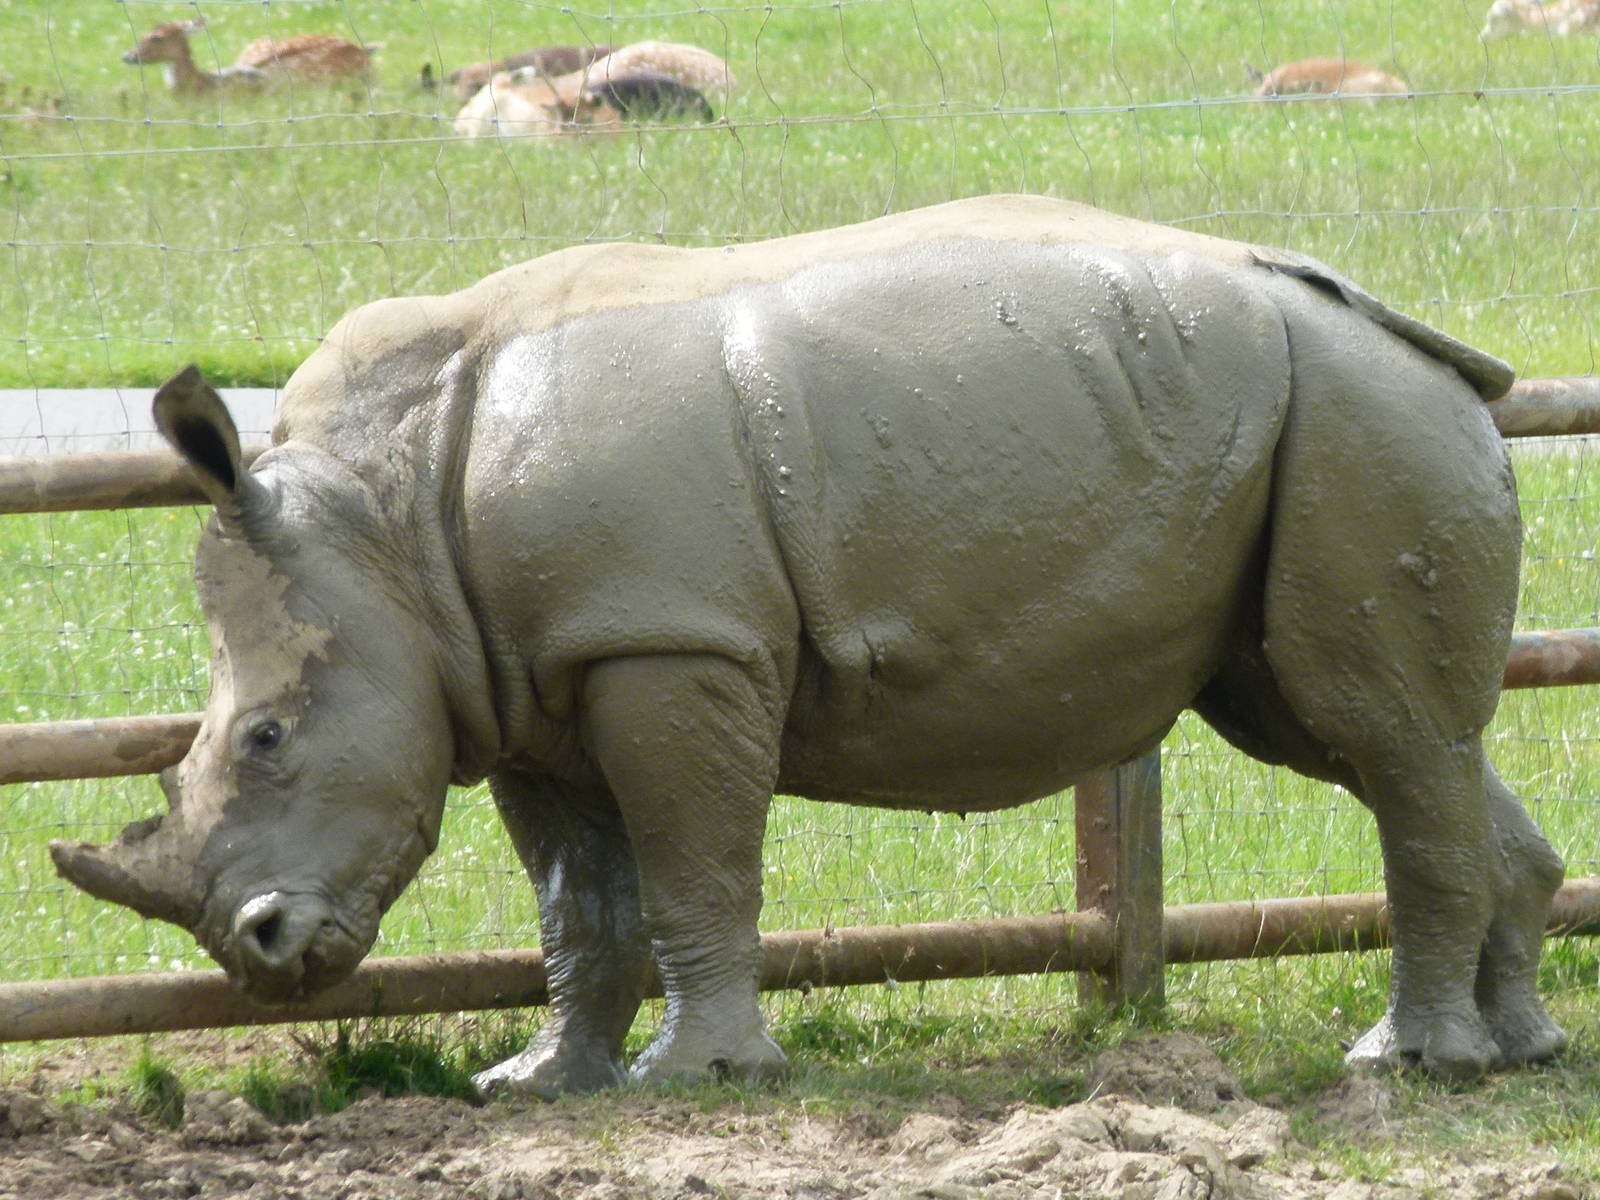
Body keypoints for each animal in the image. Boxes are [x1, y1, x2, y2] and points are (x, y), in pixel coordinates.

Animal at [51, 194, 1566, 1095]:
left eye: (265, 738)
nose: (258, 954)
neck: (382, 518)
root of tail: (1437, 351)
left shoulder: (673, 640)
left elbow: (691, 865)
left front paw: (699, 1081)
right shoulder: (527, 675)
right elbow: (577, 899)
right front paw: (541, 1086)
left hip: (1358, 418)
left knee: (1375, 730)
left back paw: (1403, 1066)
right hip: (1329, 421)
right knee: (1366, 729)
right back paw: (1519, 1052)